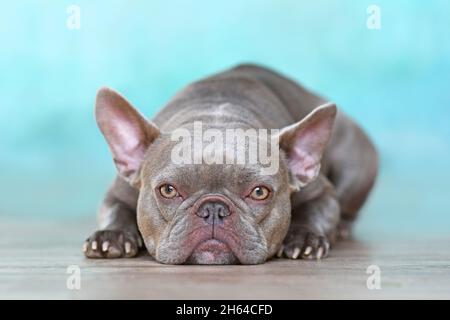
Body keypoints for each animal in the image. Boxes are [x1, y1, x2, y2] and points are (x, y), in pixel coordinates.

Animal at [82, 63, 378, 264]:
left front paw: (304, 237)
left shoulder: (321, 192)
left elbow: (317, 210)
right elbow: (115, 209)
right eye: (168, 190)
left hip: (357, 165)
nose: (214, 208)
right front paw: (111, 235)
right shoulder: (119, 190)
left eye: (259, 192)